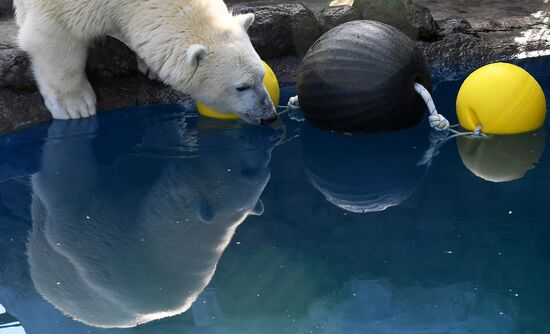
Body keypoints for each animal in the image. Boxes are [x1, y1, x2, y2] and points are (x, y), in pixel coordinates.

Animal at [12, 0, 280, 124]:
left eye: (262, 76)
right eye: (241, 87)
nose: (269, 116)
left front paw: (148, 66)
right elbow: (54, 34)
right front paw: (75, 106)